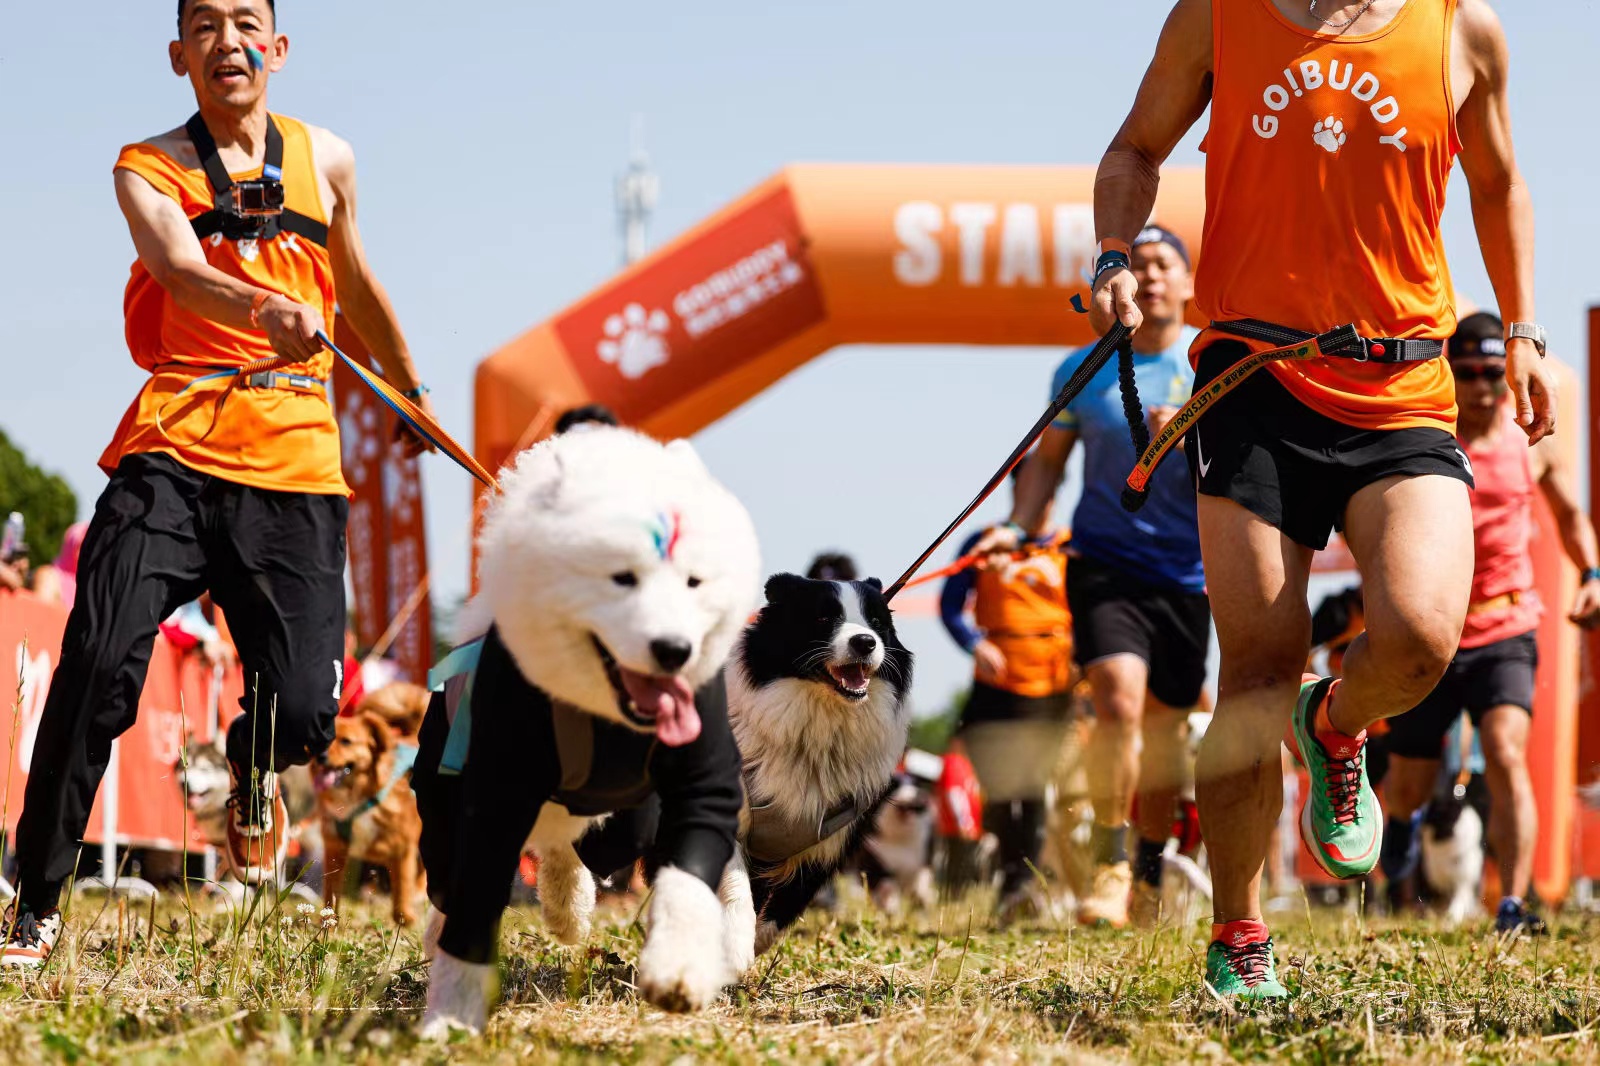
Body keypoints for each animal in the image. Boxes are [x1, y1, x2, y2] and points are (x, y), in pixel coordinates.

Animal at [412, 428, 761, 1030]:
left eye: (694, 581)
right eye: (621, 578)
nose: (674, 649)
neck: (607, 715)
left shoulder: (701, 783)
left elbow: (697, 874)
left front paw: (688, 966)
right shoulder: (495, 792)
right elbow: (473, 895)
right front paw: (452, 1017)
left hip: (628, 817)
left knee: (575, 843)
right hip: (440, 806)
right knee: (454, 881)